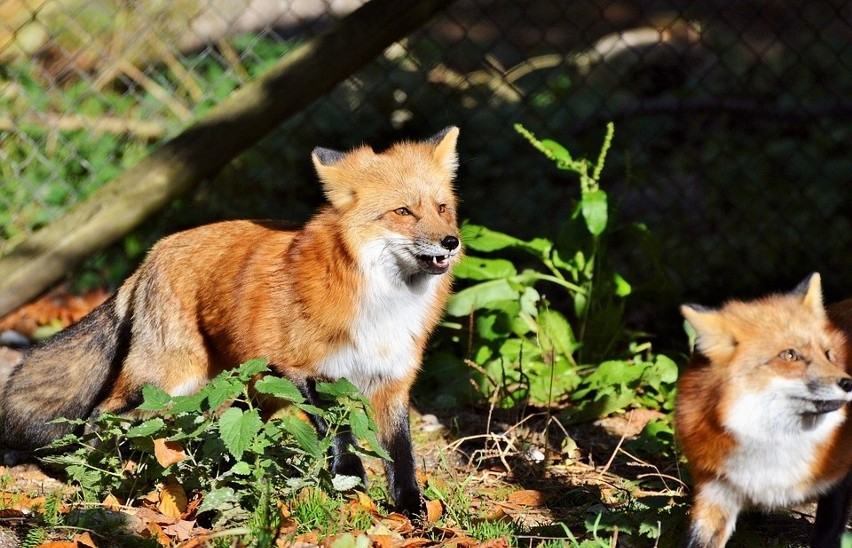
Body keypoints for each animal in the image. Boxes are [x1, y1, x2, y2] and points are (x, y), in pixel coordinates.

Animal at [0, 126, 462, 516]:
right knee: (102, 414)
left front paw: (412, 512)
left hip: (244, 390)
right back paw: (102, 472)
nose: (452, 241)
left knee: (211, 432)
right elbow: (340, 437)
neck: (383, 304)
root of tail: (153, 251)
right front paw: (351, 488)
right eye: (403, 211)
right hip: (168, 379)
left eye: (442, 208)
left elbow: (401, 457)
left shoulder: (392, 382)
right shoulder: (301, 370)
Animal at [684, 276, 852, 544]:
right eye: (790, 355)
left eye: (828, 355)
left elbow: (827, 532)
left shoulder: (840, 478)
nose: (848, 383)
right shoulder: (717, 490)